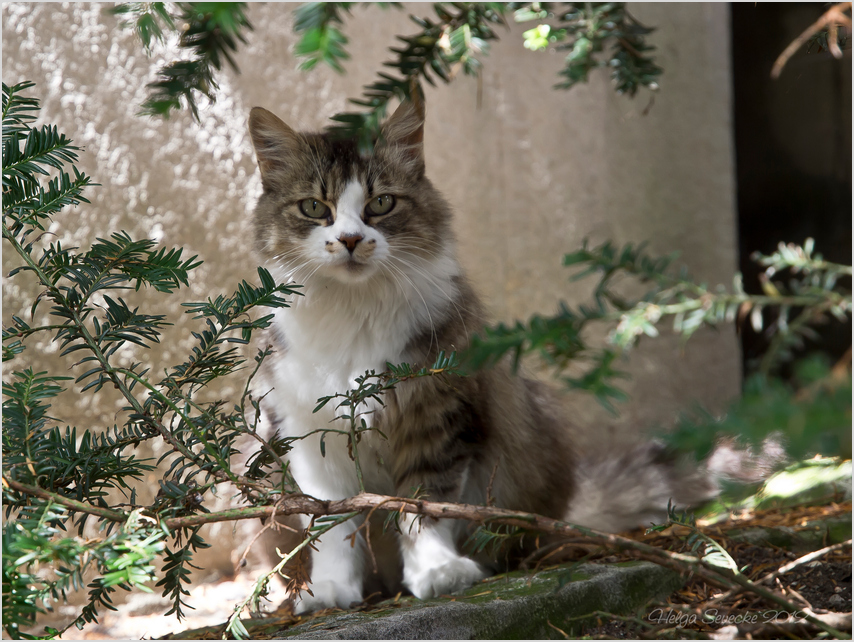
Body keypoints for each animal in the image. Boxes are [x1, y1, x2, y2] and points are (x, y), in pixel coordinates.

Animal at [246, 95, 776, 608]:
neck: (350, 312)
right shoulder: (309, 433)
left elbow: (421, 505)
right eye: (314, 208)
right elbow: (331, 524)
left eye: (381, 203)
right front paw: (330, 590)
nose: (351, 239)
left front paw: (437, 570)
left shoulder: (437, 414)